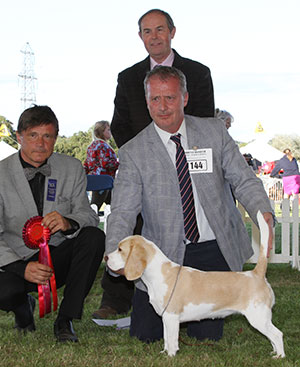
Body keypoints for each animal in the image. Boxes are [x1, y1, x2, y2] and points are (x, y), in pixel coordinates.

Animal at [106, 211, 284, 358]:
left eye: (120, 249)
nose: (106, 257)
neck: (157, 273)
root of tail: (256, 273)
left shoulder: (171, 316)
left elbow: (172, 340)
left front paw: (170, 357)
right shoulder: (166, 318)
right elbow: (166, 338)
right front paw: (163, 353)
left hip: (258, 317)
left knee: (277, 334)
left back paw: (279, 356)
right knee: (273, 337)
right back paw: (274, 352)